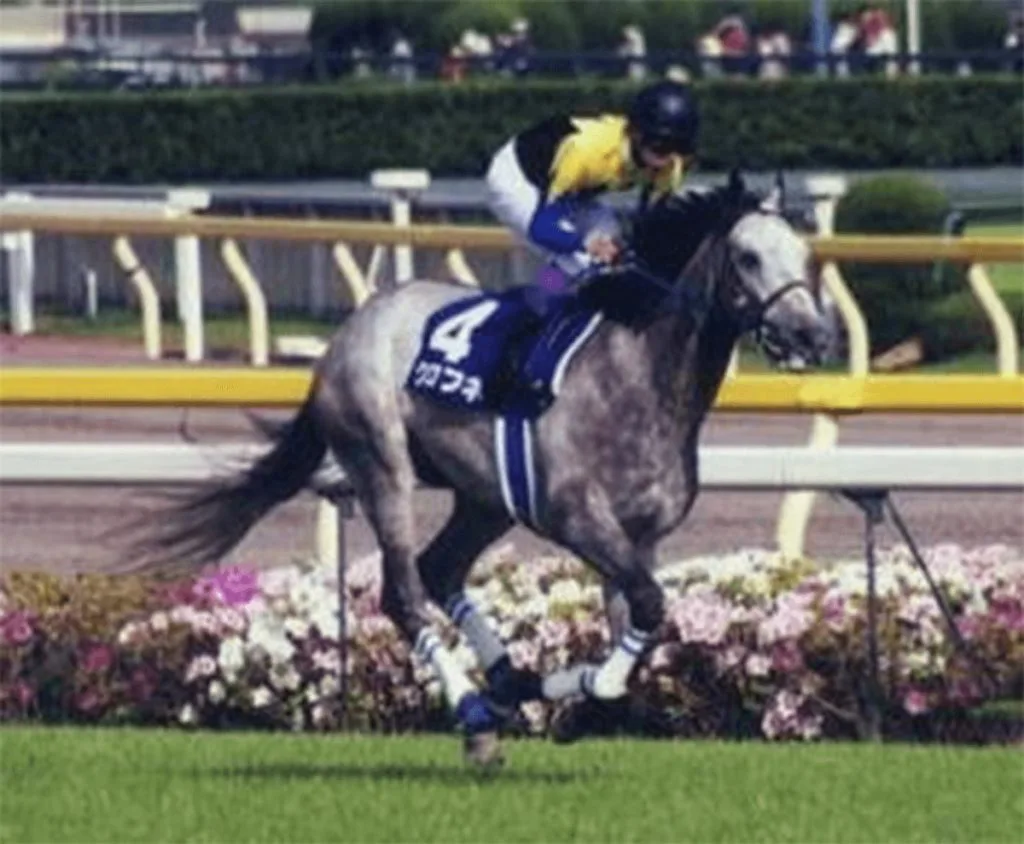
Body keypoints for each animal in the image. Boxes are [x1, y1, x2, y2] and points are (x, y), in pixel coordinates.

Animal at [133, 171, 834, 767]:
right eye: (748, 257)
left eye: (804, 257)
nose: (814, 336)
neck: (641, 378)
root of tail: (351, 328)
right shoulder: (576, 517)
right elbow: (649, 606)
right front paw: (564, 698)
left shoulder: (639, 537)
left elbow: (639, 622)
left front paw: (578, 702)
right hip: (380, 460)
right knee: (405, 591)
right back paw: (474, 708)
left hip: (485, 498)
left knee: (442, 568)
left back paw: (503, 683)